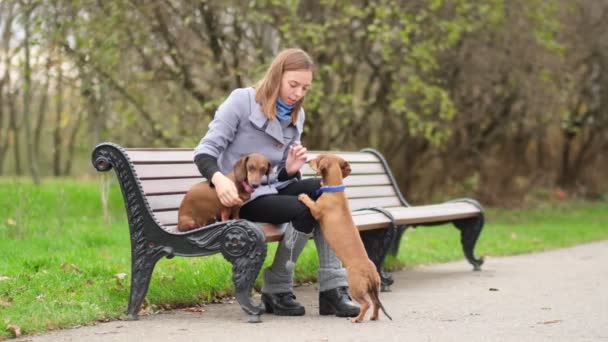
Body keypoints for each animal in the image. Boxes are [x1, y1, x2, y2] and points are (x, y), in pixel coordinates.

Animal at [298, 154, 392, 322]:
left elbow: (311, 203)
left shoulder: (316, 210)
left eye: (319, 157)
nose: (308, 159)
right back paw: (373, 317)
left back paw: (357, 319)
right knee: (376, 304)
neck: (335, 190)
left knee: (366, 304)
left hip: (355, 288)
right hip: (373, 289)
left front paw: (303, 196)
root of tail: (370, 271)